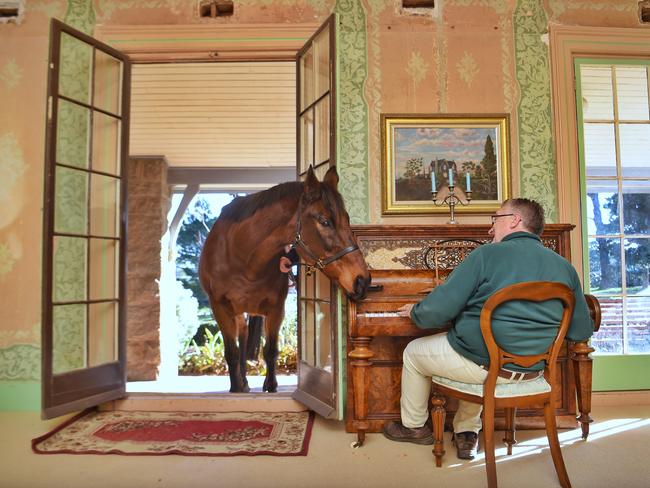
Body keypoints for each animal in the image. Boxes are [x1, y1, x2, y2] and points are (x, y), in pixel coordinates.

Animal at [197, 167, 370, 392]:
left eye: (347, 219)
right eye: (325, 221)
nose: (363, 281)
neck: (243, 259)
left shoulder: (276, 308)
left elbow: (270, 351)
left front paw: (270, 385)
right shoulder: (220, 307)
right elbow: (232, 353)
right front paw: (236, 388)